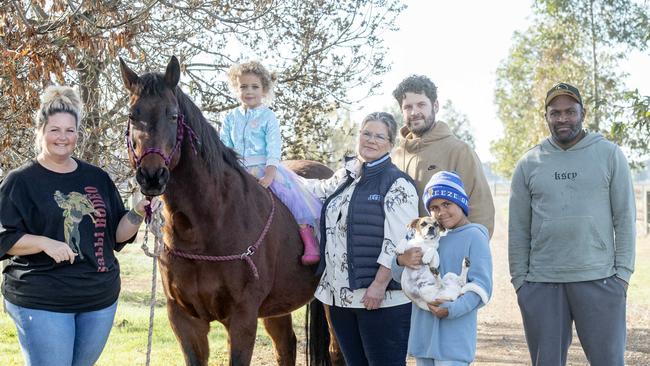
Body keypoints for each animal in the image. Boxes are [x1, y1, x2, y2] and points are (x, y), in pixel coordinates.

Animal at [118, 55, 336, 364]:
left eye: (173, 115)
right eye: (132, 115)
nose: (151, 176)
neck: (206, 226)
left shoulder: (242, 318)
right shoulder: (185, 321)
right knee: (286, 346)